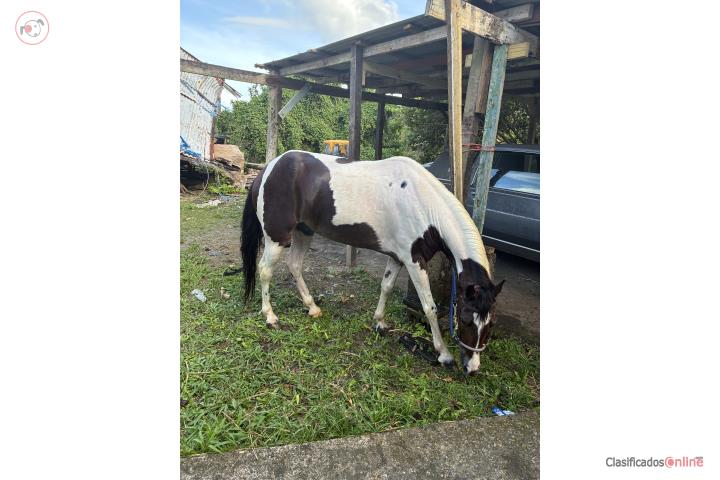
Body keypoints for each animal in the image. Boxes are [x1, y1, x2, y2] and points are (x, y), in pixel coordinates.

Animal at [241, 150, 504, 374]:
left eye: (490, 325)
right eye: (465, 319)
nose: (472, 368)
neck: (424, 206)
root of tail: (267, 170)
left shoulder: (397, 257)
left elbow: (386, 287)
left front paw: (380, 323)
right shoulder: (414, 261)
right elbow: (429, 307)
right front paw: (444, 354)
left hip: (304, 232)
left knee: (294, 266)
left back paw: (312, 307)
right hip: (277, 239)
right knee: (265, 271)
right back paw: (270, 316)